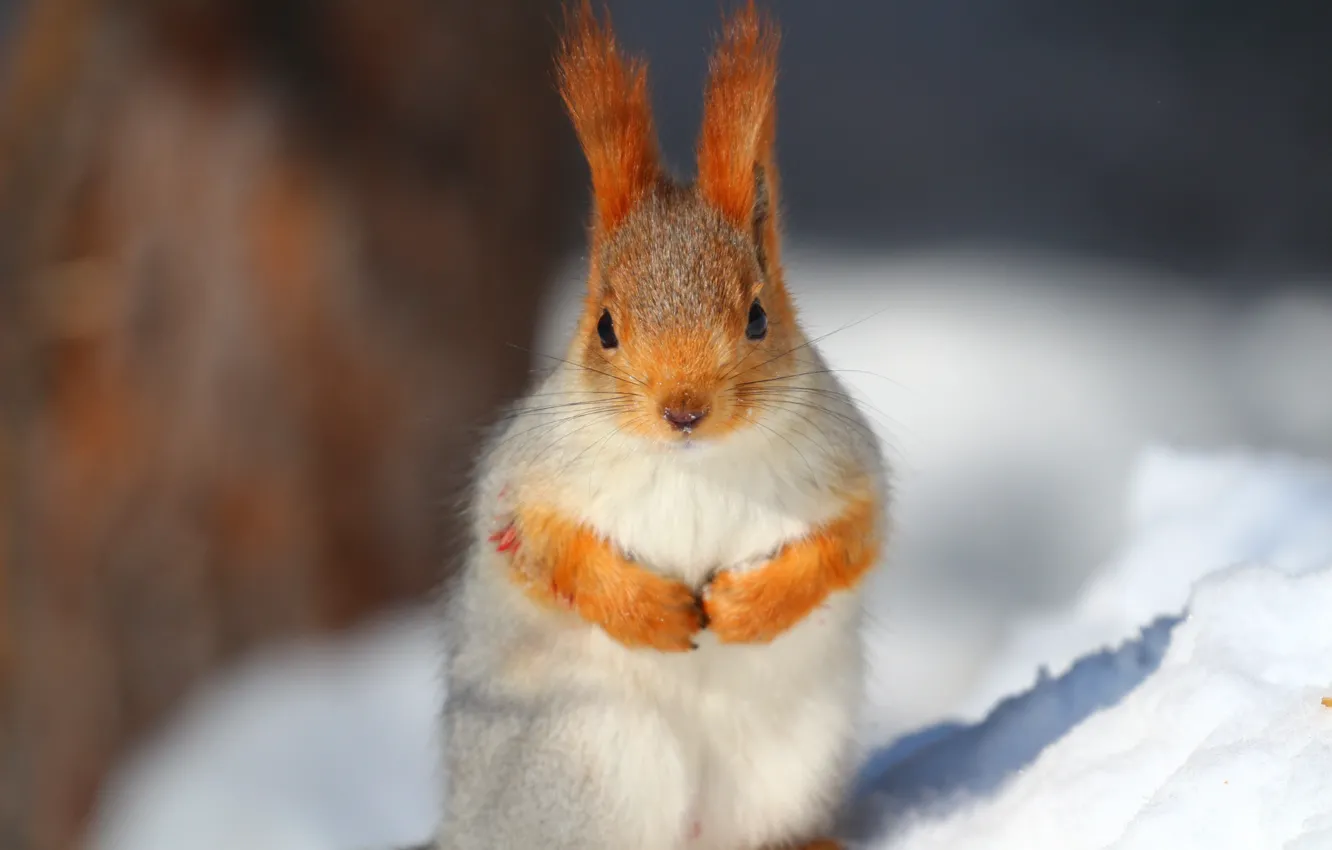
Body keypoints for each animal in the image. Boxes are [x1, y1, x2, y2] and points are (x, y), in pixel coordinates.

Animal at [434, 2, 889, 849]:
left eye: (757, 317)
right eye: (605, 327)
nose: (684, 408)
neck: (695, 463)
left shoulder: (848, 464)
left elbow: (853, 538)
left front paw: (747, 607)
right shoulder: (526, 474)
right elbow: (541, 546)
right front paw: (652, 613)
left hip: (785, 758)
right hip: (592, 752)